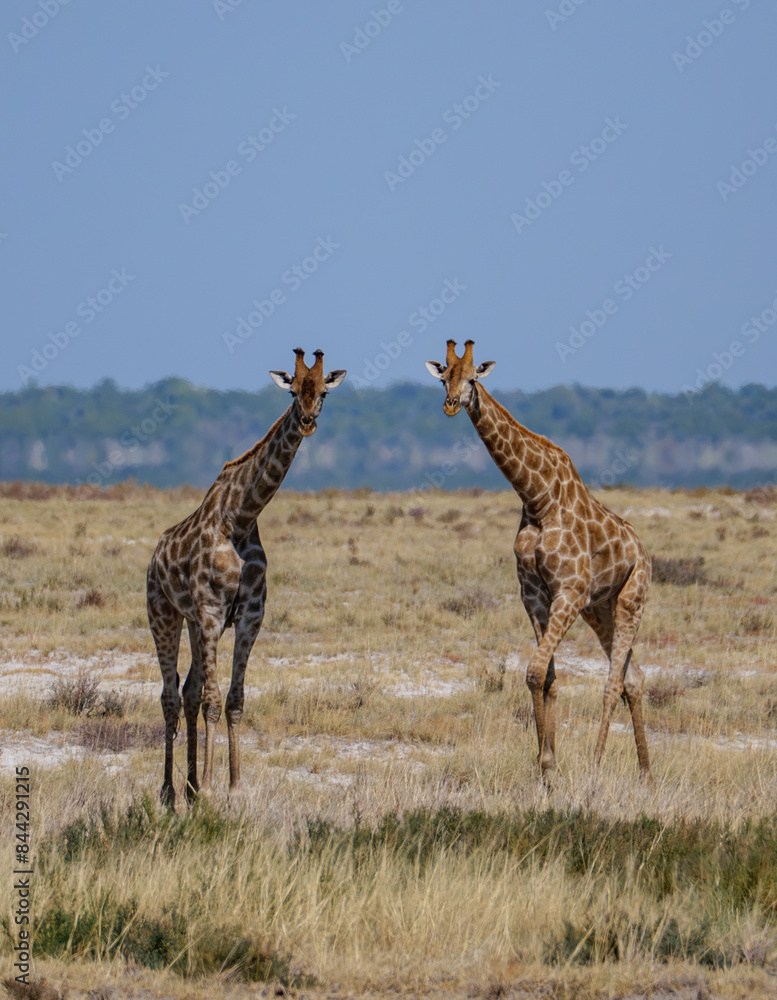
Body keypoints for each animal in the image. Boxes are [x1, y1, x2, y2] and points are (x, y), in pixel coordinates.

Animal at [147, 348, 346, 807]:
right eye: (292, 389)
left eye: (323, 391)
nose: (306, 421)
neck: (240, 517)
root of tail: (154, 555)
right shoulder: (210, 611)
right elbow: (212, 699)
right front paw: (211, 787)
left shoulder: (249, 614)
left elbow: (233, 700)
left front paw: (233, 786)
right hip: (163, 613)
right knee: (169, 695)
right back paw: (169, 791)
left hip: (192, 623)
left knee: (186, 692)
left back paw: (189, 786)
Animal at [426, 340, 652, 783]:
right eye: (444, 377)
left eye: (473, 378)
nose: (450, 405)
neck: (537, 498)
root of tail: (643, 551)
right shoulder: (534, 595)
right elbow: (545, 676)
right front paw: (547, 768)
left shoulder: (567, 592)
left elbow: (534, 671)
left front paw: (551, 765)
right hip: (600, 609)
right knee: (633, 677)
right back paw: (646, 775)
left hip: (631, 600)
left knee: (613, 682)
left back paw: (596, 770)